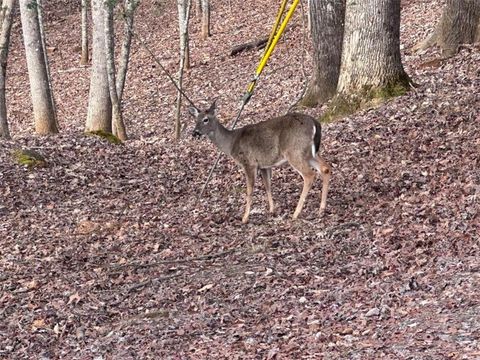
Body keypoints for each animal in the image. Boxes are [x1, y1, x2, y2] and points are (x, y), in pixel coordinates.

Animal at [190, 101, 330, 222]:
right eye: (195, 119)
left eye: (206, 119)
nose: (195, 132)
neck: (231, 143)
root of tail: (315, 123)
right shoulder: (264, 165)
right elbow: (267, 186)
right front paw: (272, 210)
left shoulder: (249, 163)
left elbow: (249, 190)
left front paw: (245, 217)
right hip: (309, 153)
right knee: (325, 168)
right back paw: (321, 209)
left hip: (294, 151)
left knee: (310, 175)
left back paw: (296, 214)